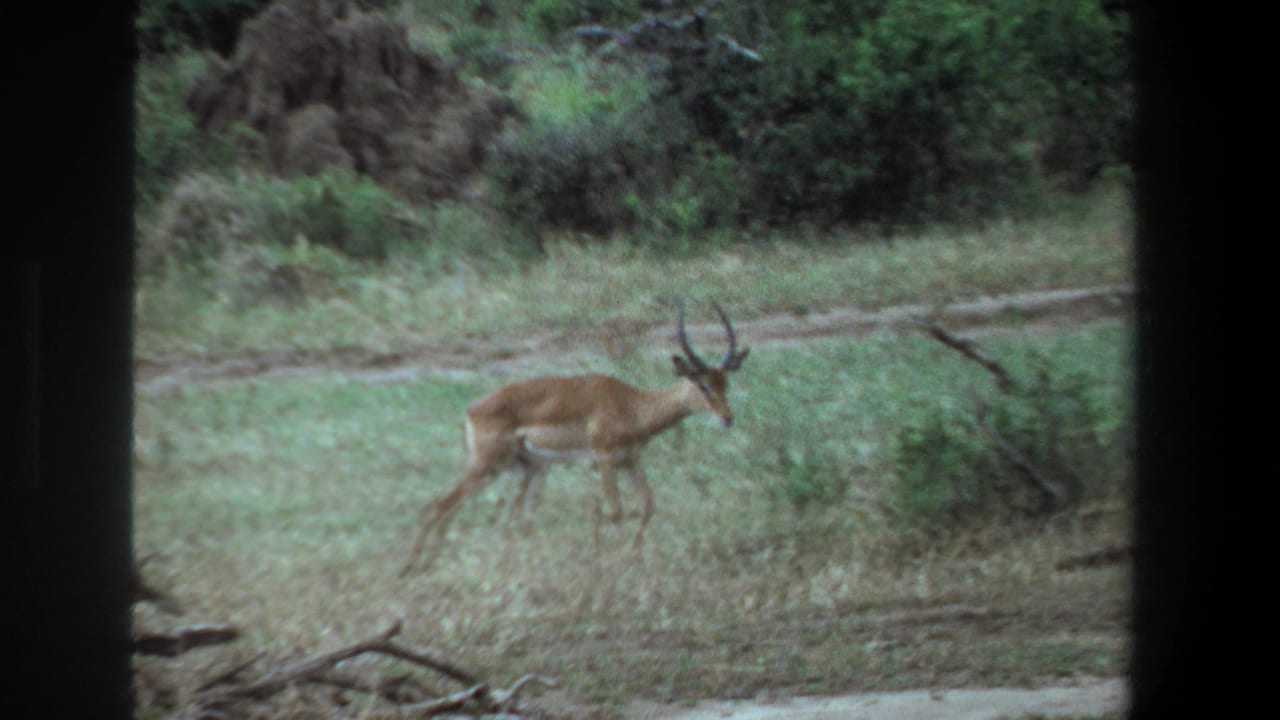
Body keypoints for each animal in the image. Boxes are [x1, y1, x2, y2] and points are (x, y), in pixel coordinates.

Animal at [400, 300, 749, 575]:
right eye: (702, 384)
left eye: (725, 382)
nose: (727, 418)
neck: (632, 405)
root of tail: (470, 410)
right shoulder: (604, 460)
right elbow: (615, 512)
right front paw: (611, 561)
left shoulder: (630, 461)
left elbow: (646, 505)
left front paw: (632, 555)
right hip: (488, 466)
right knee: (440, 504)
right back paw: (412, 566)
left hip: (525, 469)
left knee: (505, 519)